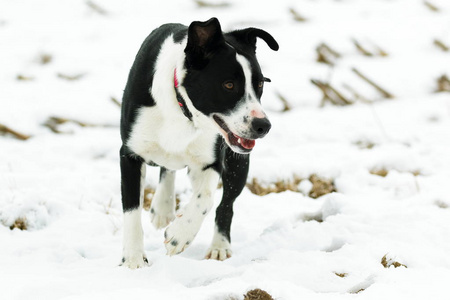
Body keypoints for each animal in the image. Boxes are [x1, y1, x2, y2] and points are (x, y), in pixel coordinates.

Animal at [119, 17, 280, 268]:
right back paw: (163, 207)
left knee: (225, 205)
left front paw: (179, 235)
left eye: (260, 85)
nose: (263, 125)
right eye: (228, 85)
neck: (181, 108)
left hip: (238, 164)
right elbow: (132, 210)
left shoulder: (211, 159)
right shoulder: (129, 155)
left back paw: (219, 246)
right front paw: (134, 259)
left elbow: (205, 198)